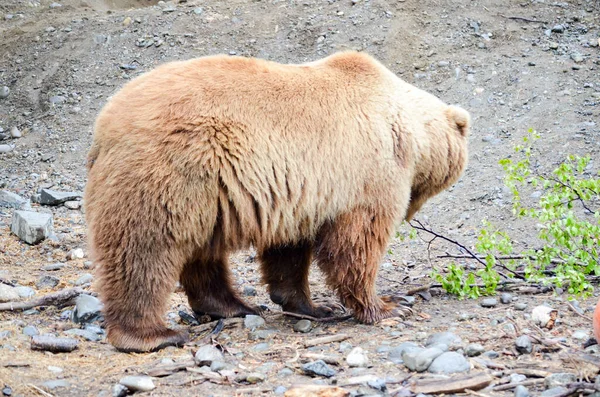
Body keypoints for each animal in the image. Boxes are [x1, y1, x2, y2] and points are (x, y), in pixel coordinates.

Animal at [84, 51, 472, 352]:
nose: (411, 214)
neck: (407, 129)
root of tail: (104, 124)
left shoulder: (299, 190)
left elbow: (289, 251)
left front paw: (310, 306)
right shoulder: (366, 171)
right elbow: (356, 243)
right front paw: (386, 306)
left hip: (205, 192)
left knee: (201, 251)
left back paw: (234, 306)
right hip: (172, 168)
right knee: (144, 249)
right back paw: (152, 334)